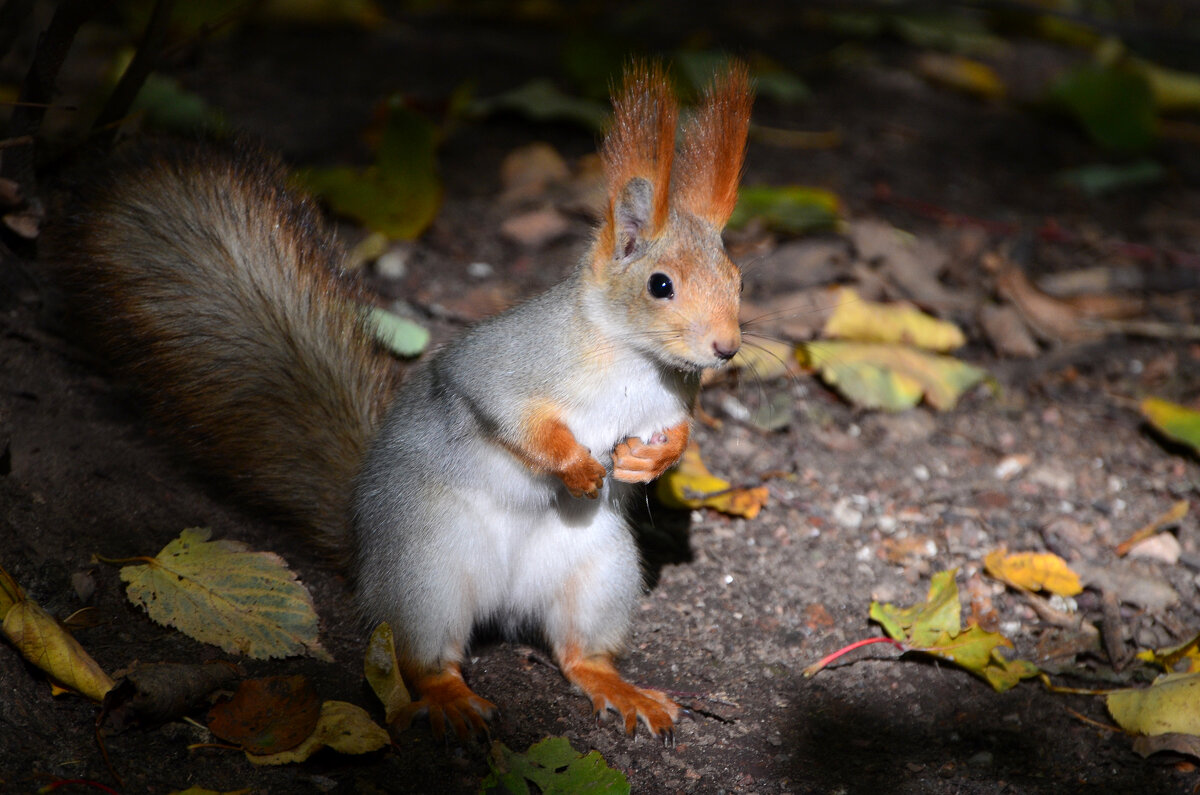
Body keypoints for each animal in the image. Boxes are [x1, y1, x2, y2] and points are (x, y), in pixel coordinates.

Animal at [42, 60, 753, 739]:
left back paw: (619, 689)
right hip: (426, 573)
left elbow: (678, 438)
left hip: (599, 572)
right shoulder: (505, 366)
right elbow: (515, 419)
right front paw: (577, 466)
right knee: (422, 657)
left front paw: (646, 463)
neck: (634, 359)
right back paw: (450, 700)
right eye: (660, 285)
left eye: (738, 278)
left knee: (579, 652)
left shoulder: (670, 405)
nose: (726, 348)